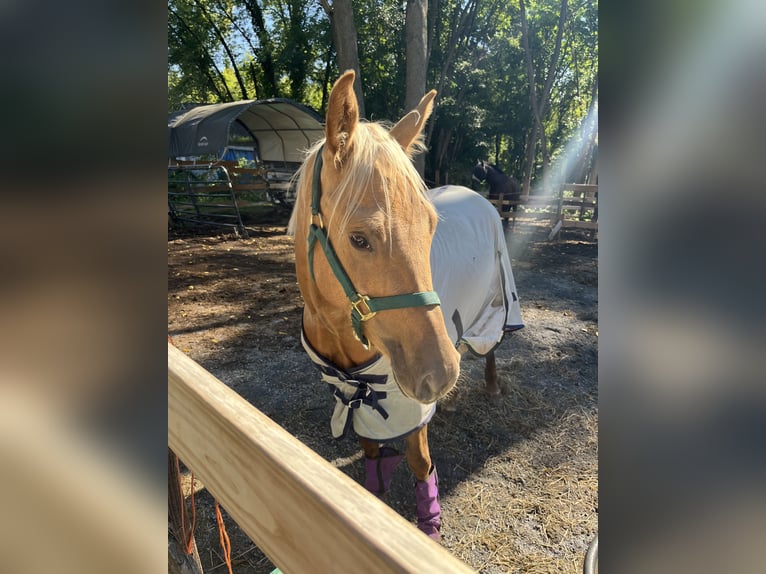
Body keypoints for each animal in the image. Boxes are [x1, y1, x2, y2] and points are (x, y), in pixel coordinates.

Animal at [289, 71, 523, 540]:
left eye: (430, 227)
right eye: (359, 238)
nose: (439, 374)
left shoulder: (409, 402)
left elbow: (419, 462)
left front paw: (428, 527)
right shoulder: (352, 395)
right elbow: (371, 451)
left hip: (490, 309)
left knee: (489, 349)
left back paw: (486, 385)